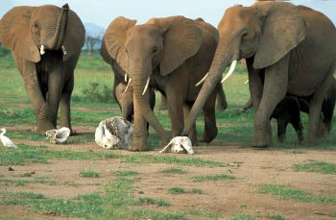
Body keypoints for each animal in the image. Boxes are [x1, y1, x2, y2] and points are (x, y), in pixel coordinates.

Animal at [0, 3, 84, 134]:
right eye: (35, 25)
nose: (65, 6)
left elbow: (55, 83)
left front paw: (51, 131)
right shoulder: (28, 48)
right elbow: (32, 82)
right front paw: (45, 131)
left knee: (66, 91)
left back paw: (68, 132)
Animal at [102, 15, 223, 150]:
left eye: (155, 50)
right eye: (126, 51)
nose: (168, 140)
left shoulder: (179, 62)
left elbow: (173, 99)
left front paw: (177, 147)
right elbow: (142, 98)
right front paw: (137, 149)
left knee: (207, 105)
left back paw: (202, 139)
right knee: (188, 105)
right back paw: (192, 142)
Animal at [181, 1, 336, 148]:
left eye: (245, 35)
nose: (182, 136)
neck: (256, 10)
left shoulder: (281, 48)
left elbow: (275, 89)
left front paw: (259, 145)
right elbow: (255, 88)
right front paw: (265, 142)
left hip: (329, 66)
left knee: (317, 99)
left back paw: (310, 143)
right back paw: (315, 140)